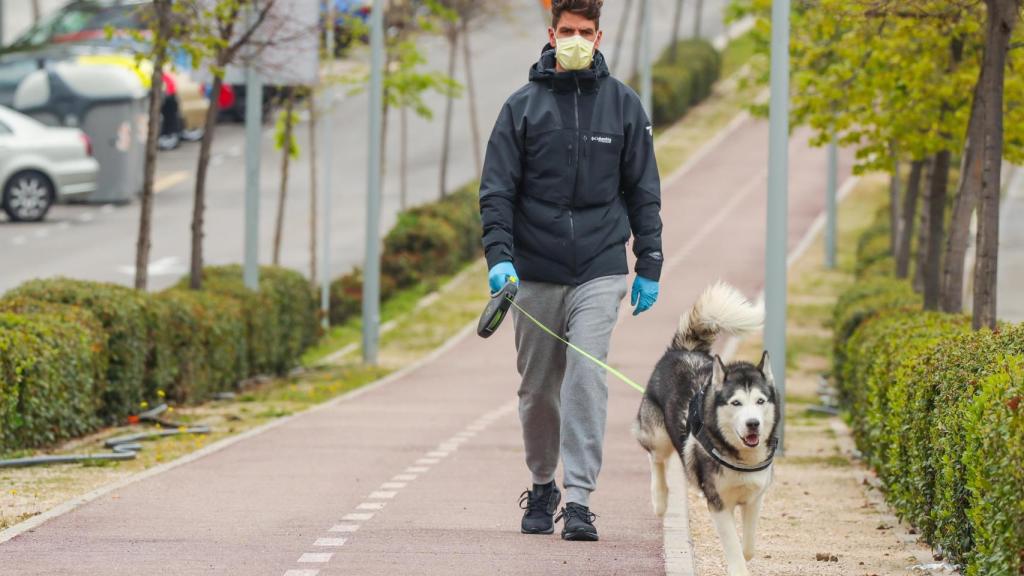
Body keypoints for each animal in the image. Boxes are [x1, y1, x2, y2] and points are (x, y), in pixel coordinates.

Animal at [630, 282, 774, 573]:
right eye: (736, 402)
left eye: (760, 401)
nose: (753, 423)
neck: (741, 459)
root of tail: (684, 350)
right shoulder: (717, 501)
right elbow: (732, 544)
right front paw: (737, 568)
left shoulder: (755, 498)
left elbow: (748, 546)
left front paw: (745, 554)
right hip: (658, 434)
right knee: (656, 458)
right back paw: (660, 499)